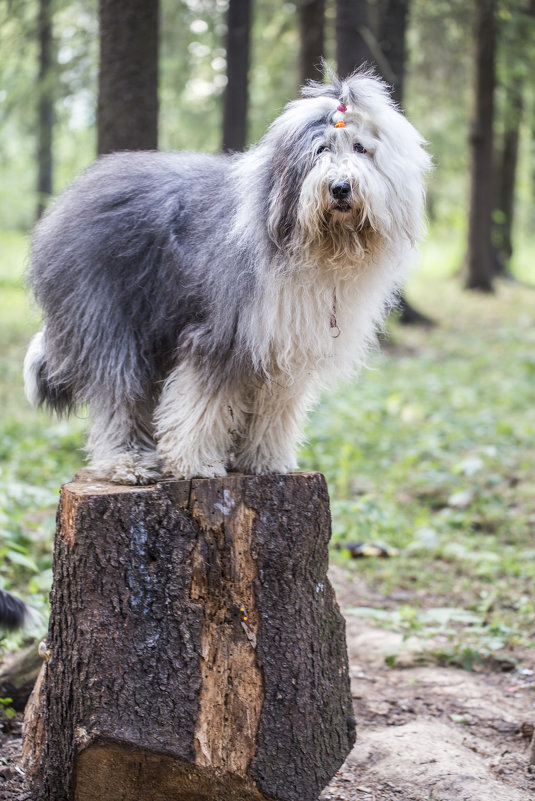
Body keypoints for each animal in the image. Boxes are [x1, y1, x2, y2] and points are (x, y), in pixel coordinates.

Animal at [23, 70, 432, 482]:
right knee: (118, 392)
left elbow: (274, 408)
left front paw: (265, 461)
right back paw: (128, 461)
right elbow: (203, 403)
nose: (340, 188)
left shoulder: (281, 346)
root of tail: (65, 201)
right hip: (107, 317)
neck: (322, 248)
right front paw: (197, 462)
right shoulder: (220, 334)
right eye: (320, 150)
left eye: (361, 148)